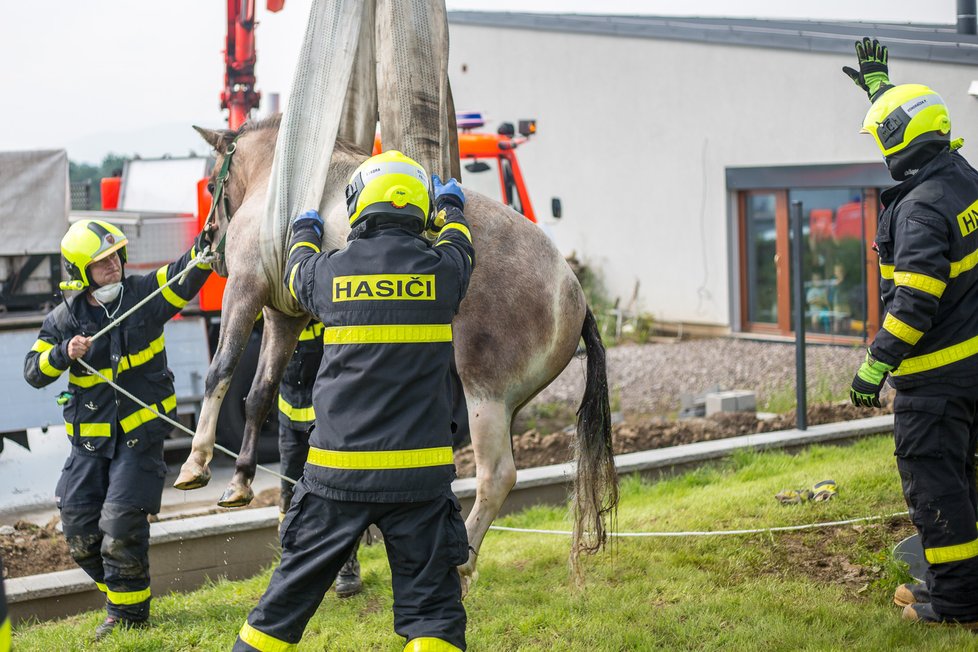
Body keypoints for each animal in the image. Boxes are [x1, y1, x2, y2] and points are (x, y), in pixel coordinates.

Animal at [174, 114, 612, 592]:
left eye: (213, 182)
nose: (209, 246)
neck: (279, 178)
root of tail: (574, 294)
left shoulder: (244, 289)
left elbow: (220, 372)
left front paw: (196, 463)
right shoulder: (282, 316)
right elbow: (259, 397)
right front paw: (239, 481)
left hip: (485, 396)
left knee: (497, 475)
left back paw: (462, 563)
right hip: (506, 404)